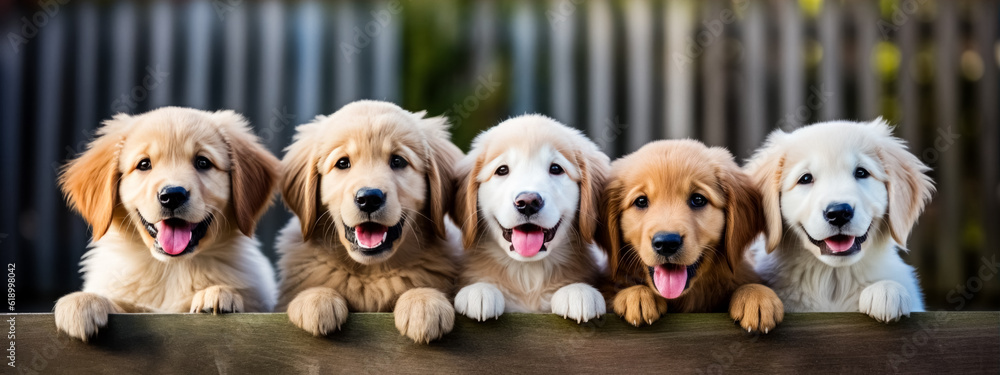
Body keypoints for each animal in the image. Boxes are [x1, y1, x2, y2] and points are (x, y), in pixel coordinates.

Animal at [54, 107, 282, 342]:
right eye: (144, 164)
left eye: (203, 162)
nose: (172, 195)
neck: (171, 270)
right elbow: (118, 303)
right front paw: (82, 301)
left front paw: (218, 292)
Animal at [454, 114, 608, 324]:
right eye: (502, 170)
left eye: (556, 168)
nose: (528, 202)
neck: (528, 273)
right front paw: (479, 290)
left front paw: (577, 291)